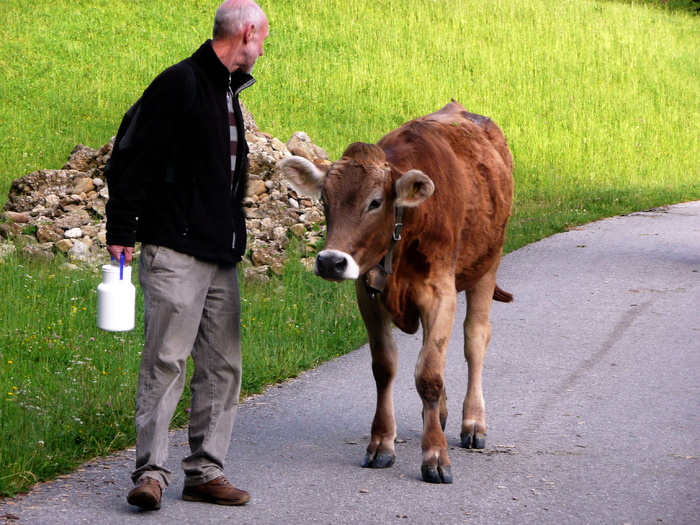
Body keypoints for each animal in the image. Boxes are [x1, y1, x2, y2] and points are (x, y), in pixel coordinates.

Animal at [280, 101, 516, 484]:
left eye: (376, 202)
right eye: (325, 200)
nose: (331, 262)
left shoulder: (440, 294)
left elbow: (429, 374)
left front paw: (435, 455)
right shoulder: (367, 293)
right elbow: (386, 367)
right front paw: (381, 443)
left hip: (487, 263)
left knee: (475, 341)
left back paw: (473, 422)